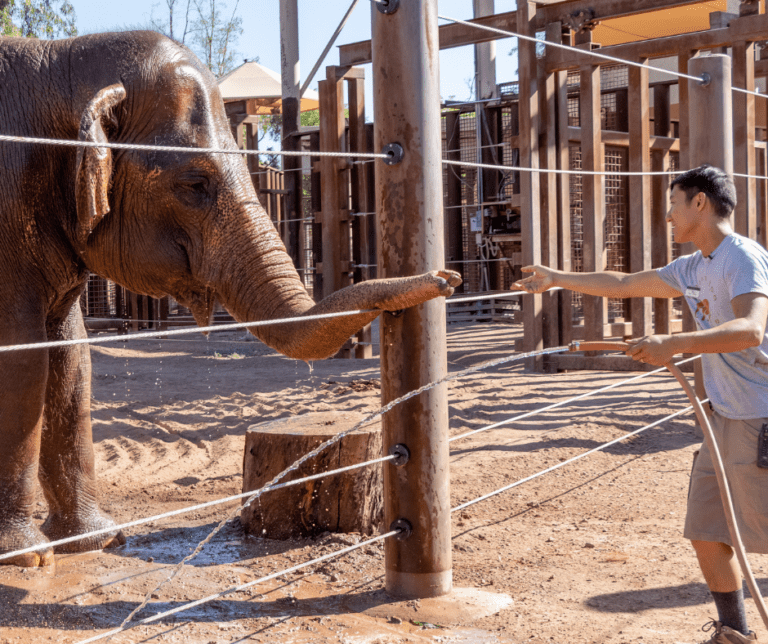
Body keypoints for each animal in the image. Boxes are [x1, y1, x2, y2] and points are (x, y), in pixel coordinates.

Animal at [0, 30, 460, 568]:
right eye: (195, 184)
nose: (446, 278)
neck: (62, 58)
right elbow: (22, 362)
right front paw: (29, 558)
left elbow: (70, 361)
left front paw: (99, 542)